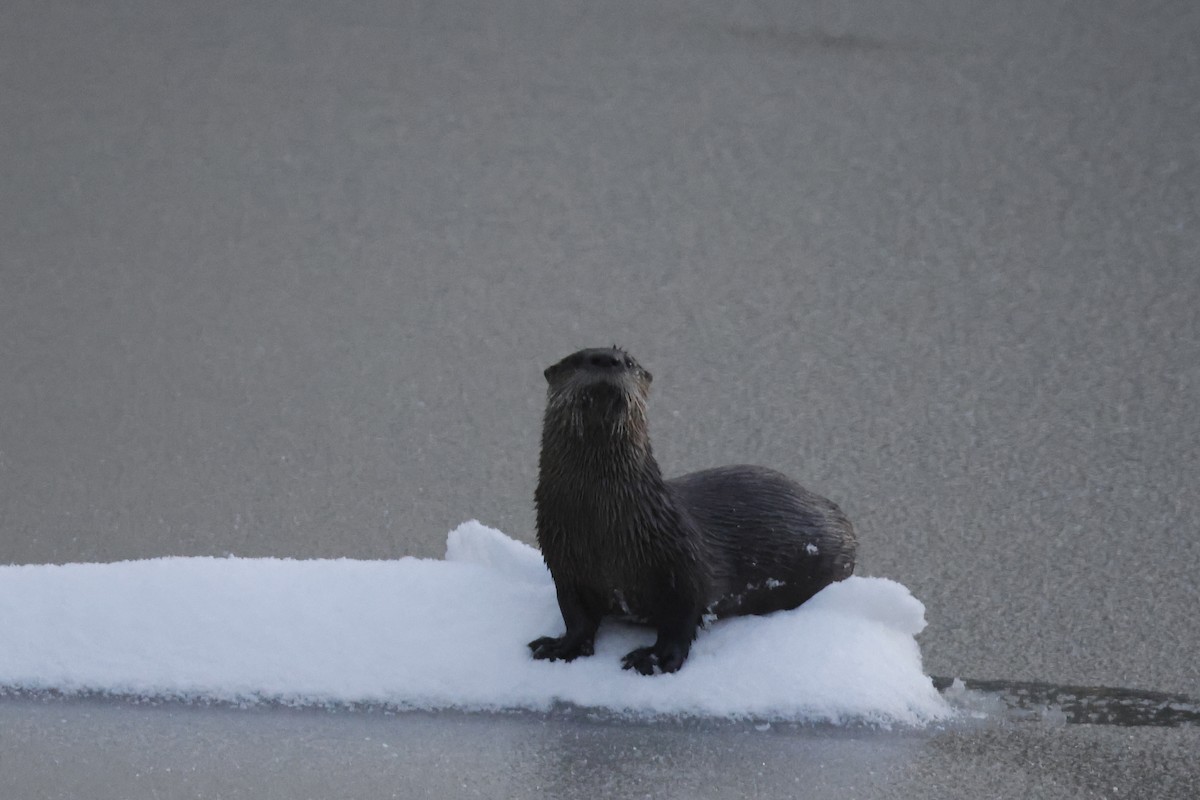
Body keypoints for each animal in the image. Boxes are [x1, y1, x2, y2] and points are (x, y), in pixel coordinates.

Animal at [528, 346, 857, 675]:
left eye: (630, 362)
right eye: (577, 359)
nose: (608, 359)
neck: (603, 526)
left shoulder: (682, 563)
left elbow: (681, 618)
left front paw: (656, 658)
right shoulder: (564, 565)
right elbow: (575, 615)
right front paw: (560, 646)